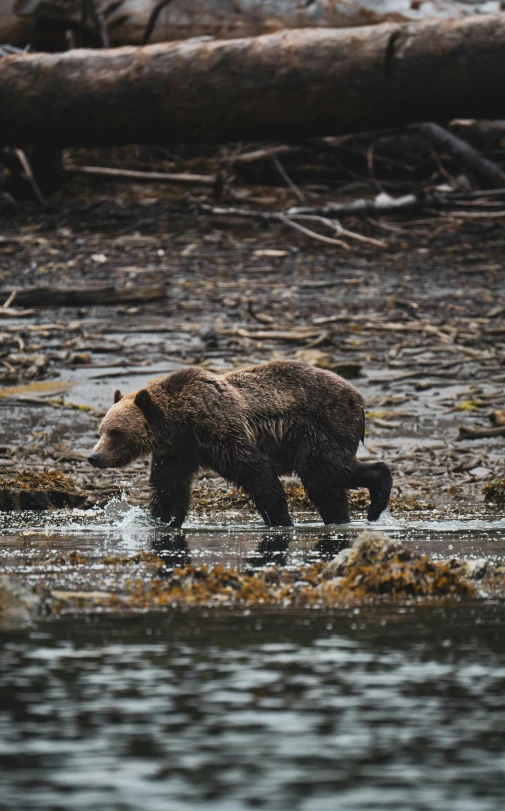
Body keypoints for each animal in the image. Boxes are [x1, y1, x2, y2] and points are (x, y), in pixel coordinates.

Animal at [88, 360, 392, 528]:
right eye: (100, 431)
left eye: (115, 432)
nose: (94, 457)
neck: (180, 423)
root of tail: (359, 398)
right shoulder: (178, 452)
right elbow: (169, 488)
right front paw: (162, 521)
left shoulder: (220, 432)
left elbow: (256, 472)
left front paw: (280, 519)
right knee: (326, 488)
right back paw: (340, 518)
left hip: (320, 428)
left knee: (327, 471)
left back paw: (376, 499)